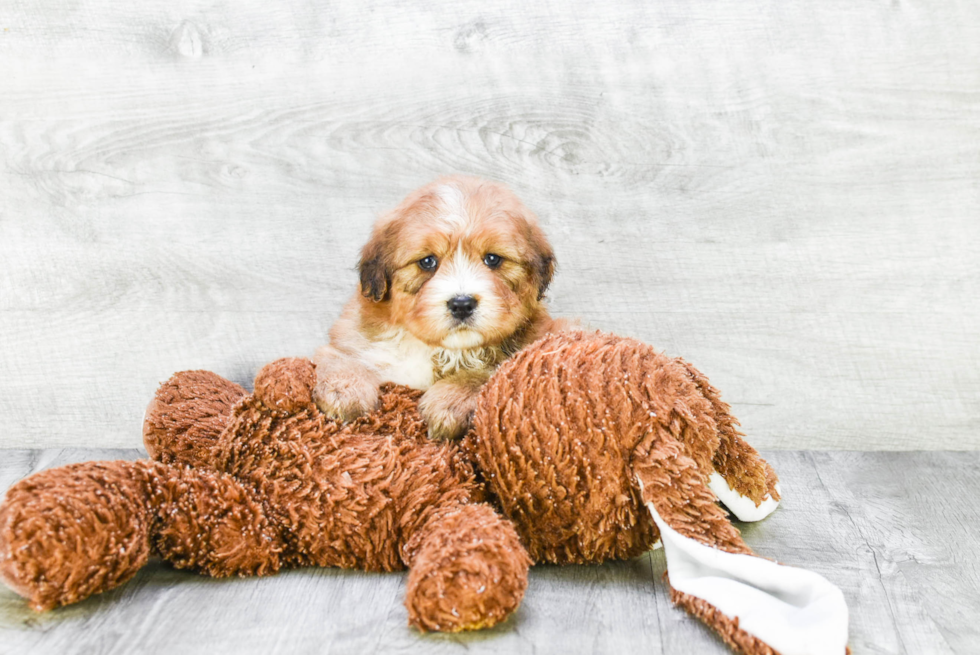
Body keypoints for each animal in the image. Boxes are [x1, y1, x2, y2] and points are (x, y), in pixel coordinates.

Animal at [314, 176, 572, 440]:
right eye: (427, 261)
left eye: (492, 259)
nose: (462, 304)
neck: (444, 350)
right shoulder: (352, 339)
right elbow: (342, 358)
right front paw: (345, 391)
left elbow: (493, 369)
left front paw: (450, 402)